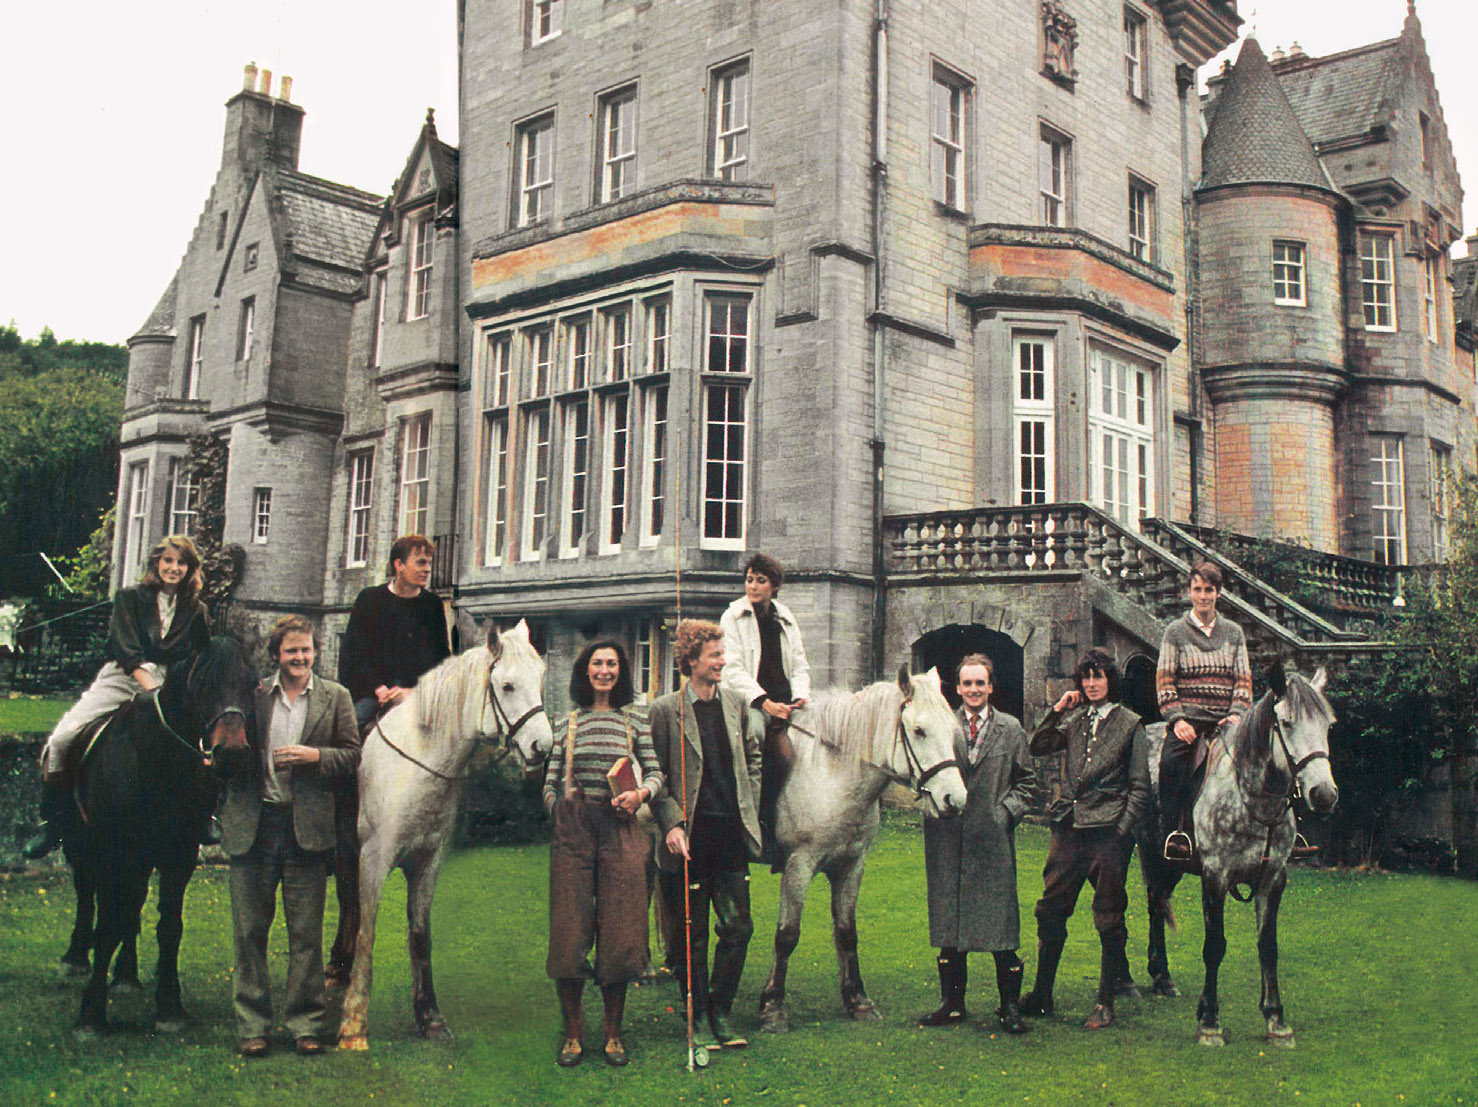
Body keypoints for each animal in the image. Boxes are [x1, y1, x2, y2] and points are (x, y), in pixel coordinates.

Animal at [338, 617, 552, 1052]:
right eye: (507, 686)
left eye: (540, 679)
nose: (543, 746)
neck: (417, 767)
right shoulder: (374, 859)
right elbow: (369, 931)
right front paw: (354, 1023)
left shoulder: (428, 862)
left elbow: (420, 935)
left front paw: (430, 1019)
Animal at [762, 662, 969, 1034]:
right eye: (919, 731)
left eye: (951, 730)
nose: (955, 800)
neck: (833, 776)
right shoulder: (799, 865)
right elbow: (787, 935)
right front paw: (772, 1007)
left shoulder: (852, 865)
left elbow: (847, 933)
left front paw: (857, 1001)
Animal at [1141, 665, 1342, 1046]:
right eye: (1287, 723)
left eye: (1328, 725)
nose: (1323, 794)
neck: (1251, 800)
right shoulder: (1215, 877)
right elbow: (1214, 946)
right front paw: (1209, 1020)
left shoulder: (1272, 879)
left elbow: (1268, 946)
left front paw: (1276, 1018)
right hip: (1149, 850)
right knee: (1151, 902)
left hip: (1172, 864)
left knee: (1159, 903)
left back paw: (1162, 977)